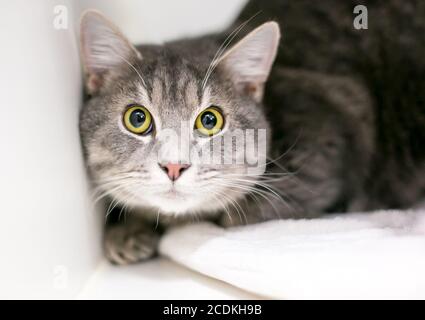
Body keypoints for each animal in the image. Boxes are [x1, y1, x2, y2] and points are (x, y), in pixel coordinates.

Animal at [79, 0, 424, 264]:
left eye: (210, 121)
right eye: (137, 118)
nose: (174, 166)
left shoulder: (334, 129)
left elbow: (228, 213)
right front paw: (126, 231)